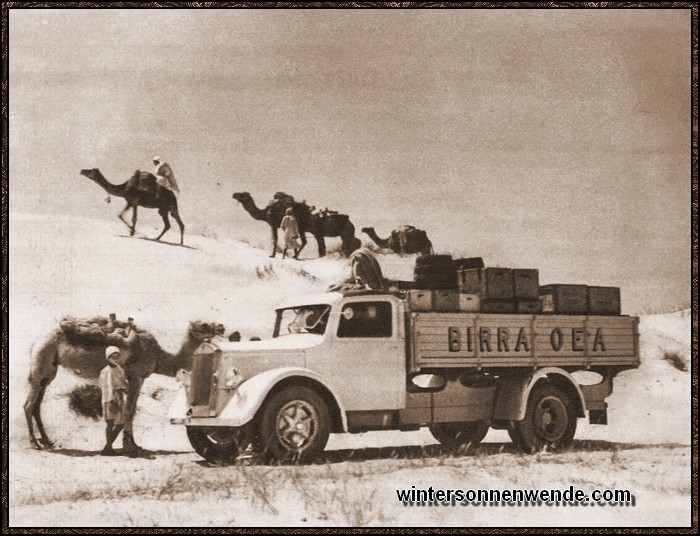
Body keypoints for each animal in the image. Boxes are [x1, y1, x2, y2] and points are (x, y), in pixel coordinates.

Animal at [24, 316, 223, 450]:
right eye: (204, 324)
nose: (221, 326)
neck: (159, 357)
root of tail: (36, 340)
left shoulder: (134, 378)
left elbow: (130, 410)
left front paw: (125, 442)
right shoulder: (136, 377)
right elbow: (129, 411)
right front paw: (130, 445)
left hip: (50, 370)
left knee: (37, 404)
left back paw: (47, 440)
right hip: (41, 361)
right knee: (28, 404)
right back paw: (34, 443)